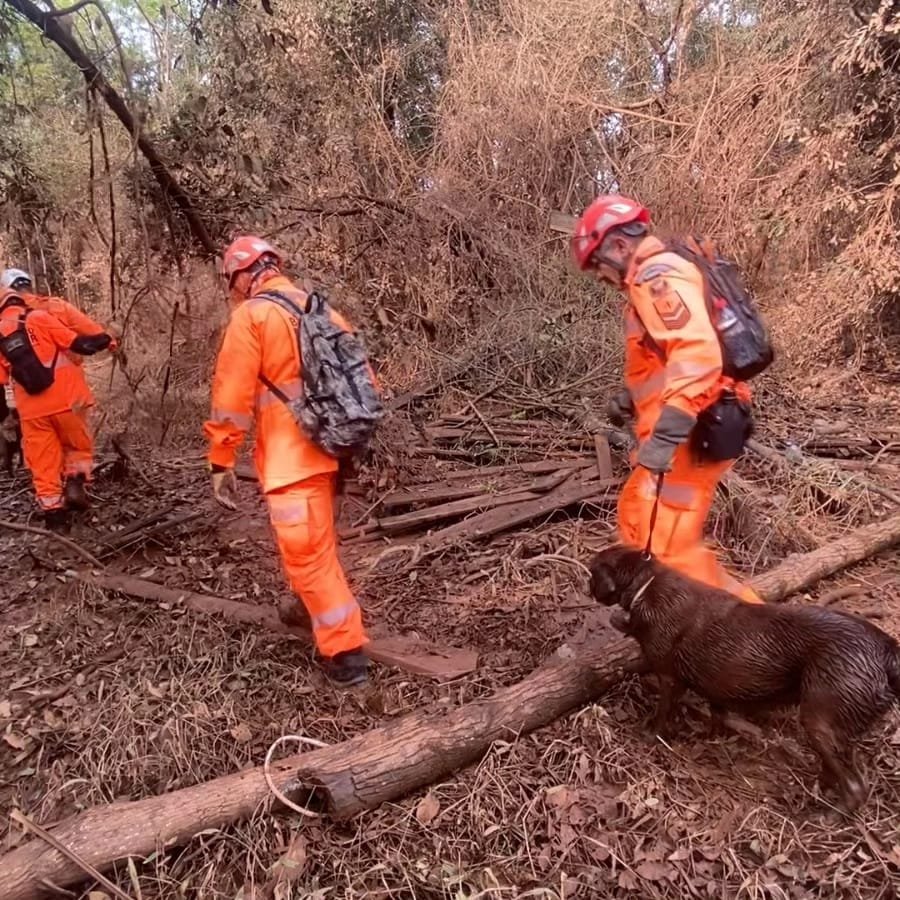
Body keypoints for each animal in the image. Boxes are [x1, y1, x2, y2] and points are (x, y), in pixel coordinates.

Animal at [588, 544, 900, 812]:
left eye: (593, 571)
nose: (587, 585)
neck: (647, 585)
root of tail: (886, 650)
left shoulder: (669, 678)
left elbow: (663, 714)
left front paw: (650, 735)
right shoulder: (714, 687)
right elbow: (716, 715)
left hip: (820, 720)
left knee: (856, 787)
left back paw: (827, 814)